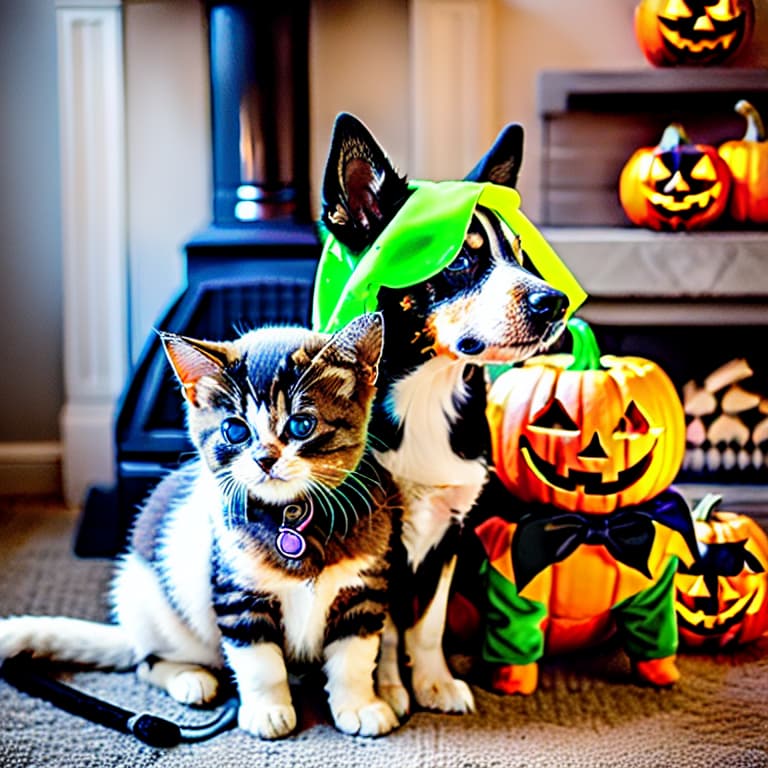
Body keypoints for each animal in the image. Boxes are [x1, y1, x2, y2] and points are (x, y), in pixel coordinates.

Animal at [0, 310, 396, 736]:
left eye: (301, 425)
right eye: (235, 430)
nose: (265, 459)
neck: (292, 515)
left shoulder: (363, 588)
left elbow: (354, 655)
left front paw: (359, 705)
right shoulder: (235, 589)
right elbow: (258, 660)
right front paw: (267, 709)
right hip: (155, 603)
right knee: (147, 662)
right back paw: (189, 678)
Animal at [310, 112, 584, 712]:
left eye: (522, 257)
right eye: (459, 259)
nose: (554, 302)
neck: (427, 392)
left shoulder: (452, 526)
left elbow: (428, 622)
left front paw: (434, 681)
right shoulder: (380, 538)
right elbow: (387, 628)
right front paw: (390, 690)